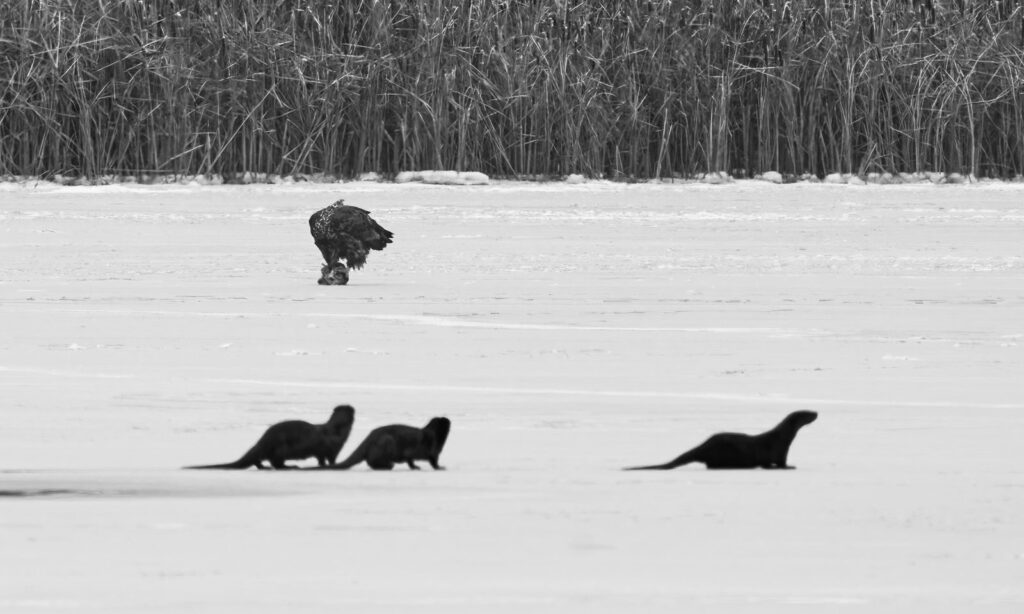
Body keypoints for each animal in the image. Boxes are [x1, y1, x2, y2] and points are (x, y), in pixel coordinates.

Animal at [185, 405, 356, 470]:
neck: (336, 432)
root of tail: (263, 440)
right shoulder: (330, 450)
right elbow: (327, 459)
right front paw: (332, 465)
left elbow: (322, 459)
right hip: (281, 448)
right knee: (275, 462)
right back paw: (290, 466)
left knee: (259, 460)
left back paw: (264, 466)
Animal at [312, 417, 451, 470]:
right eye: (446, 422)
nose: (448, 419)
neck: (435, 436)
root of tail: (369, 438)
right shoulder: (434, 450)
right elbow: (434, 461)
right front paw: (440, 467)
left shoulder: (412, 454)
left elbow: (410, 461)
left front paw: (415, 467)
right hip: (387, 441)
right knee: (371, 461)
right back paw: (388, 465)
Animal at [625, 410, 818, 470]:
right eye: (806, 413)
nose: (816, 412)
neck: (781, 438)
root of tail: (703, 446)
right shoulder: (777, 453)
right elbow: (778, 463)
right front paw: (790, 467)